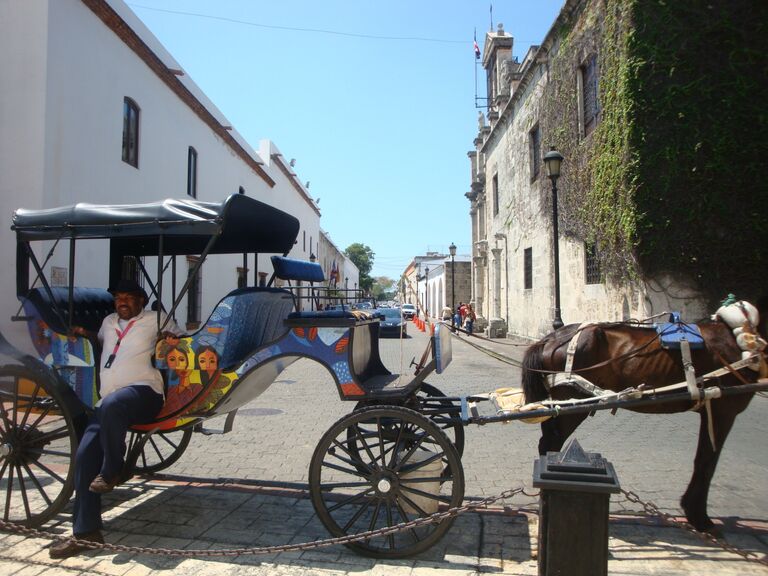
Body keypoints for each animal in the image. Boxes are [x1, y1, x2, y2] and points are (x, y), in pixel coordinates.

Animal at [520, 304, 764, 532]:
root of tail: (551, 338)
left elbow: (705, 458)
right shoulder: (723, 407)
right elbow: (707, 460)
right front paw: (699, 517)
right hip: (572, 401)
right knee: (550, 443)